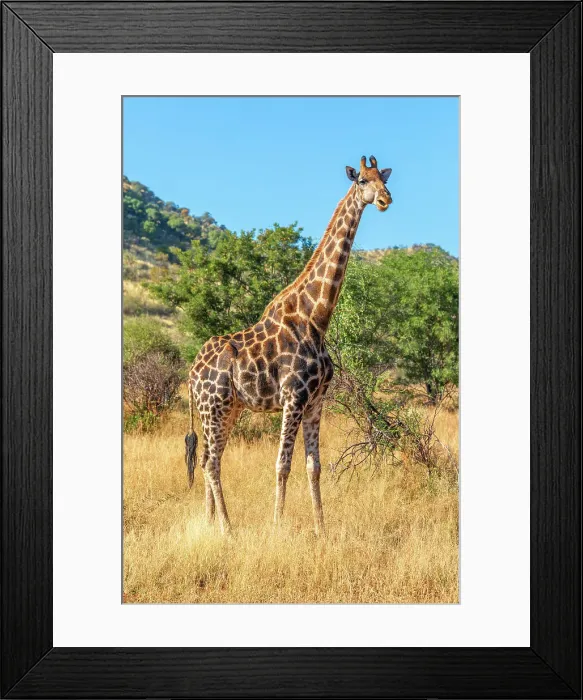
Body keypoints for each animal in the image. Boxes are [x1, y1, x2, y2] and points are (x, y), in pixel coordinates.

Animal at [185, 156, 392, 535]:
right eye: (362, 181)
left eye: (383, 179)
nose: (386, 200)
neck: (317, 318)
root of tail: (192, 373)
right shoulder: (293, 397)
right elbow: (282, 464)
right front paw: (277, 526)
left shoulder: (316, 401)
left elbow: (314, 466)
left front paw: (321, 529)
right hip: (214, 407)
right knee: (210, 463)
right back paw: (228, 528)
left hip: (227, 409)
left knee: (208, 458)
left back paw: (210, 522)